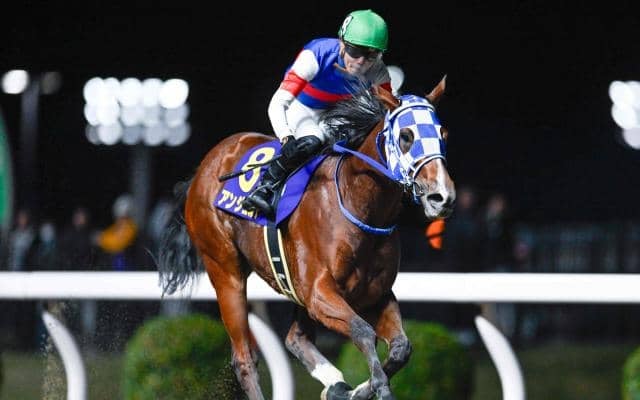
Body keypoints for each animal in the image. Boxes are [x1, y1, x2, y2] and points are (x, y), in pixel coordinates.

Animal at [158, 77, 455, 400]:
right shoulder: (318, 293)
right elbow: (363, 331)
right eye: (406, 136)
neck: (358, 205)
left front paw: (356, 391)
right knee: (244, 358)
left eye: (443, 133)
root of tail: (205, 166)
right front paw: (377, 388)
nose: (442, 196)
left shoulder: (377, 294)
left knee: (294, 338)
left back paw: (335, 385)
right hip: (225, 271)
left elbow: (402, 348)